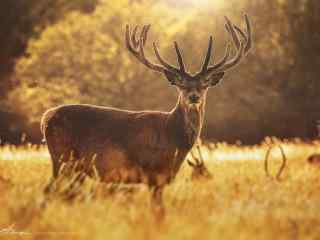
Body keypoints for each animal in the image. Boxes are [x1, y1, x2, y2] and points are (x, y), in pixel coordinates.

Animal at [42, 15, 252, 213]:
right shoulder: (153, 174)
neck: (173, 139)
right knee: (50, 191)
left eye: (204, 84)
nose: (193, 96)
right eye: (181, 85)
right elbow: (158, 212)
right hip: (62, 158)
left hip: (74, 167)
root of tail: (45, 118)